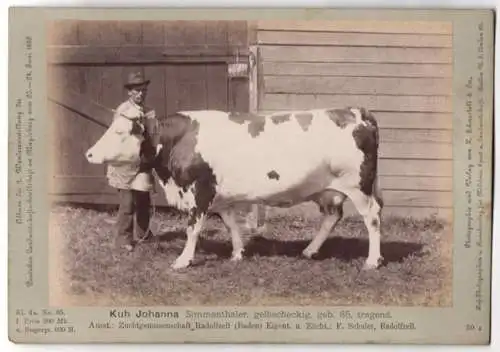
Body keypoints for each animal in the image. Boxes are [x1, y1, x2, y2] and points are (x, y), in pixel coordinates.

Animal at [85, 107, 382, 270]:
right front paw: (237, 253)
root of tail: (356, 112)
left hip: (360, 187)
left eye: (119, 132)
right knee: (332, 216)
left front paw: (183, 260)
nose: (88, 153)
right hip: (328, 190)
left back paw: (372, 260)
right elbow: (231, 224)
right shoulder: (221, 197)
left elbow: (193, 229)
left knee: (373, 218)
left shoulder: (199, 191)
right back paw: (310, 250)